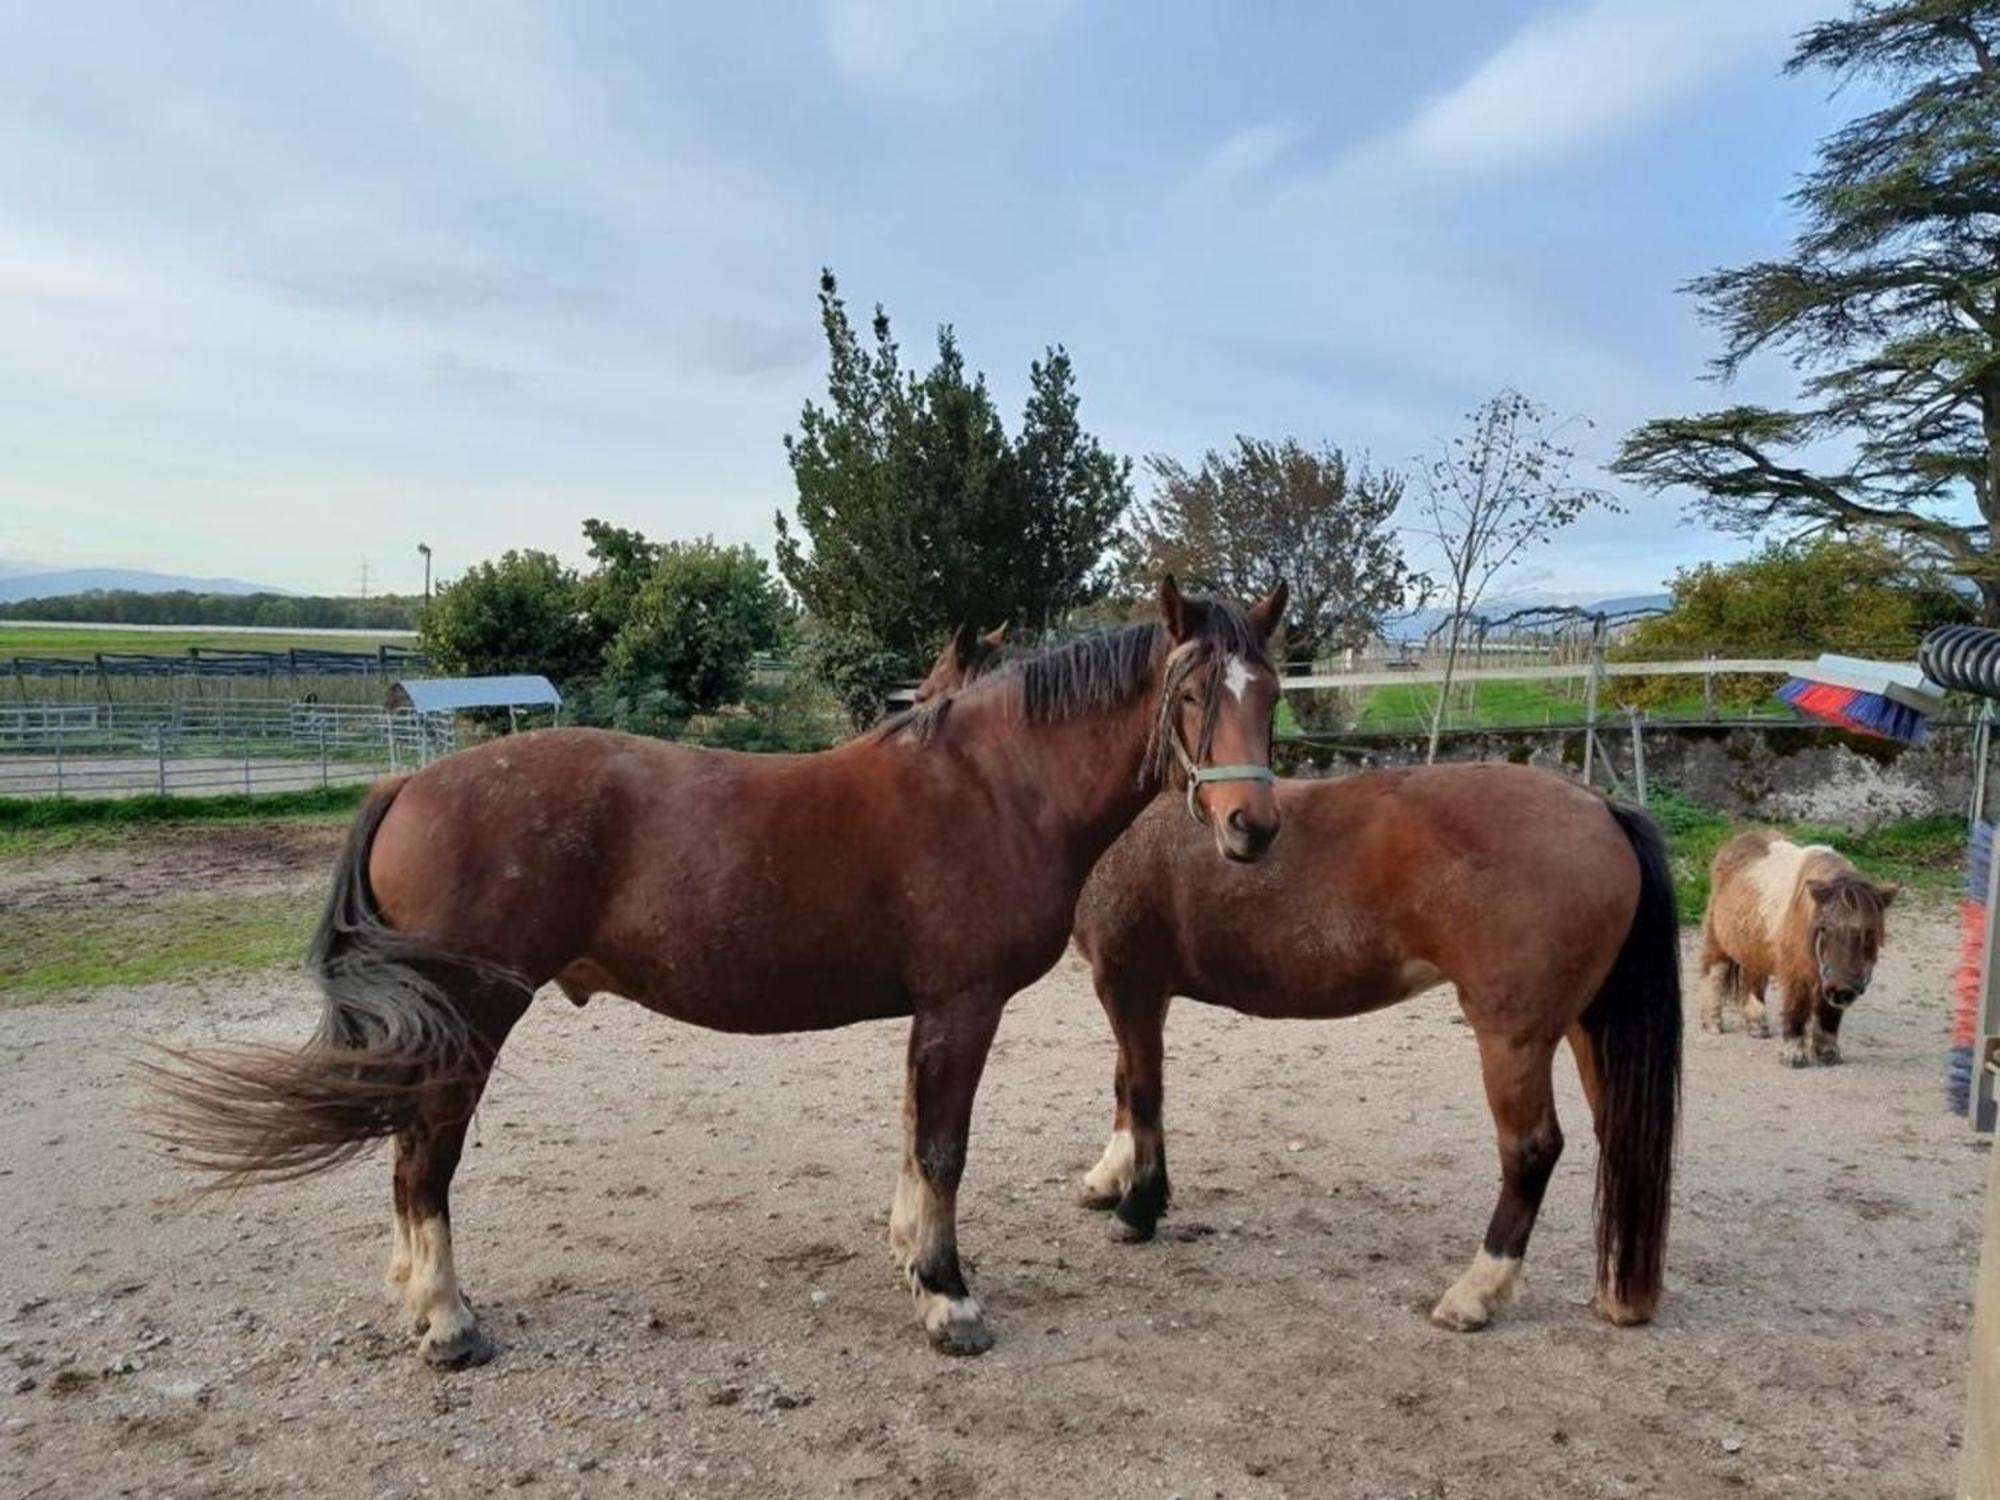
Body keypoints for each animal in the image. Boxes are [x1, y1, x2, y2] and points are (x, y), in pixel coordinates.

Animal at [148, 580, 1288, 1368]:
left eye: (1271, 692)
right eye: (1191, 693)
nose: (1253, 828)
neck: (994, 787)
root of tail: (411, 782)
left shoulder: (928, 1015)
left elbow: (913, 1140)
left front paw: (910, 1259)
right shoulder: (962, 1009)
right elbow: (944, 1149)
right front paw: (948, 1298)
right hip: (470, 1017)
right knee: (422, 1160)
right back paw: (448, 1322)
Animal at [928, 640, 1680, 1336]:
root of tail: (1599, 806)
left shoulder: (1128, 982)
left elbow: (1142, 1092)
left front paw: (1139, 1207)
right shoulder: (1135, 991)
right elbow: (1126, 1084)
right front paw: (1112, 1178)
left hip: (1513, 1035)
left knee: (1531, 1150)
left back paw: (1475, 1292)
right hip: (1583, 1025)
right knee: (1618, 1135)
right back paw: (1617, 1290)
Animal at [1696, 836, 1896, 1072]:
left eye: (1869, 932)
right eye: (1824, 928)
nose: (1842, 991)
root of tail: (1737, 842)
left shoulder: (1826, 978)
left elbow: (1829, 1014)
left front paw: (1828, 1054)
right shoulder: (1797, 973)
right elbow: (1797, 1010)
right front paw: (1793, 1056)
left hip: (1755, 946)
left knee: (1753, 980)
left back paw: (1757, 1025)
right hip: (1717, 939)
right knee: (1715, 974)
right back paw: (1712, 1023)